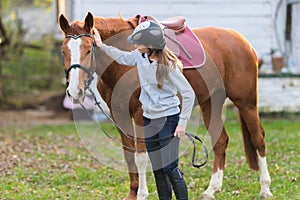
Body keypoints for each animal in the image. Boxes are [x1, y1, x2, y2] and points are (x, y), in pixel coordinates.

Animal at [58, 11, 274, 199]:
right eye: (63, 51)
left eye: (89, 49)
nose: (74, 92)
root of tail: (242, 40)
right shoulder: (119, 114)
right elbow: (129, 156)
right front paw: (132, 194)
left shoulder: (139, 115)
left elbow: (141, 156)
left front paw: (142, 195)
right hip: (211, 102)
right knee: (220, 141)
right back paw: (211, 190)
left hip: (246, 102)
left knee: (258, 138)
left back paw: (265, 189)